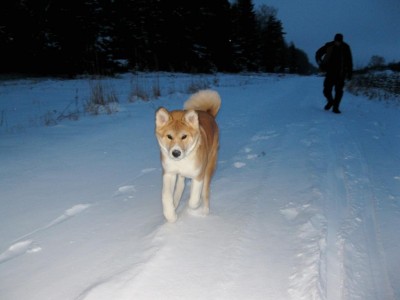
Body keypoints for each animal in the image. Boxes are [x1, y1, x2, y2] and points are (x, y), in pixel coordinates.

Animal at [155, 89, 222, 223]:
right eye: (169, 136)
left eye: (184, 136)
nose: (176, 153)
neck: (182, 160)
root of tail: (209, 114)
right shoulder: (169, 173)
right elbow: (166, 196)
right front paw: (171, 215)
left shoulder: (198, 175)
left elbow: (194, 199)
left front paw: (193, 207)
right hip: (180, 175)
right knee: (180, 186)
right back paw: (176, 204)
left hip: (209, 166)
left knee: (205, 192)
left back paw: (205, 211)